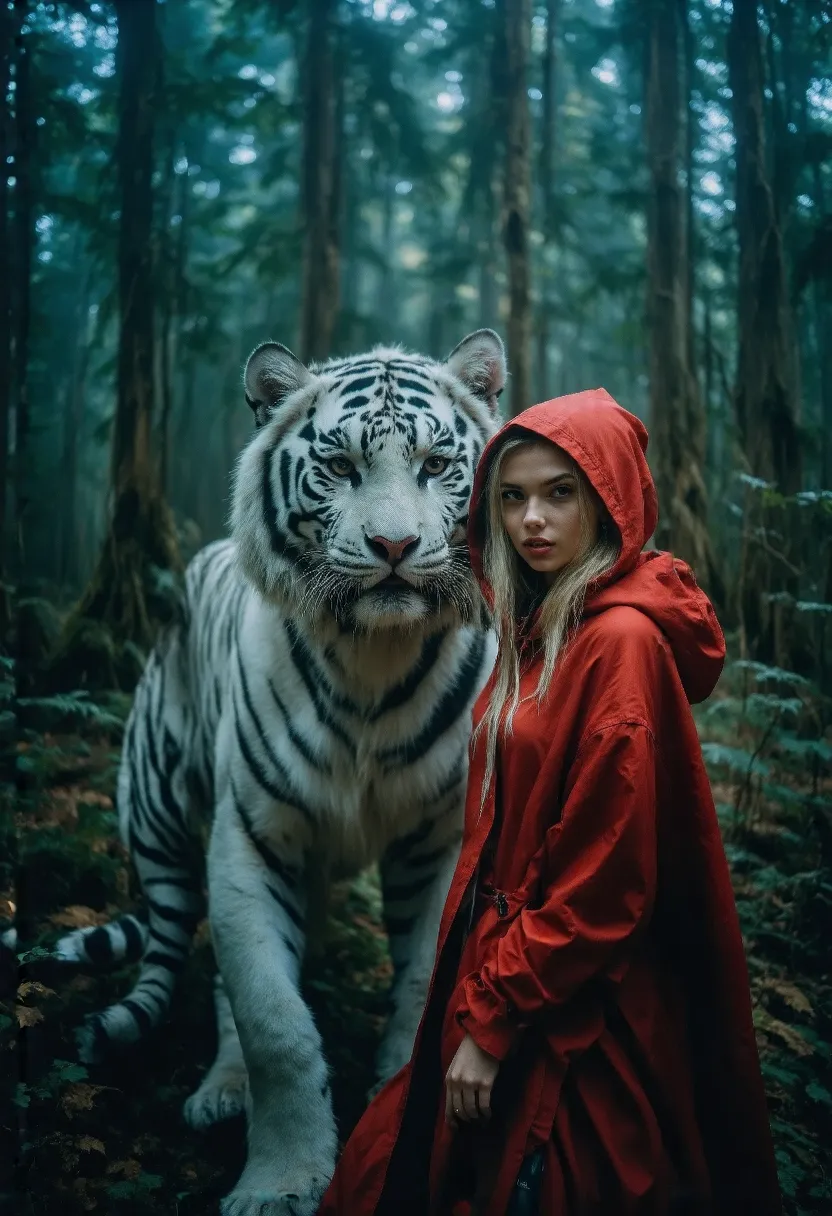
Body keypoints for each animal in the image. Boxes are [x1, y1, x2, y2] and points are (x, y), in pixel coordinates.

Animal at [56, 330, 506, 1216]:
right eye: (339, 466)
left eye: (437, 464)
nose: (395, 549)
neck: (375, 657)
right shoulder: (252, 839)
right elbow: (273, 1018)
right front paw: (283, 1180)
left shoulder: (438, 843)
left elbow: (419, 994)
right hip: (160, 815)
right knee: (201, 969)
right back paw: (219, 1088)